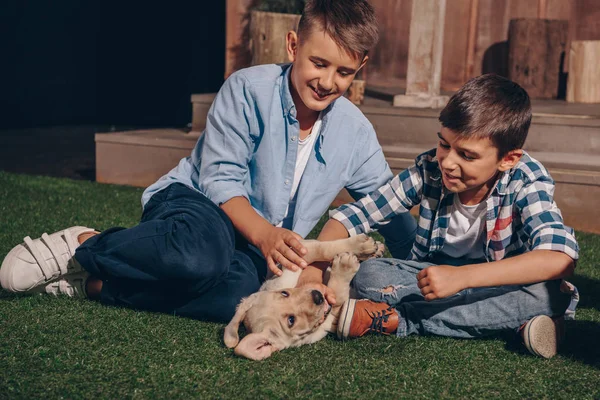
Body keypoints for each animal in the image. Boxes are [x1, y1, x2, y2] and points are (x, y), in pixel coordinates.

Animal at [223, 233, 382, 360]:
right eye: (291, 320)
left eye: (284, 293)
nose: (317, 296)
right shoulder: (329, 319)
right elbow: (337, 295)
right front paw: (345, 265)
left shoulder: (293, 259)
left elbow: (321, 249)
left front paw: (361, 246)